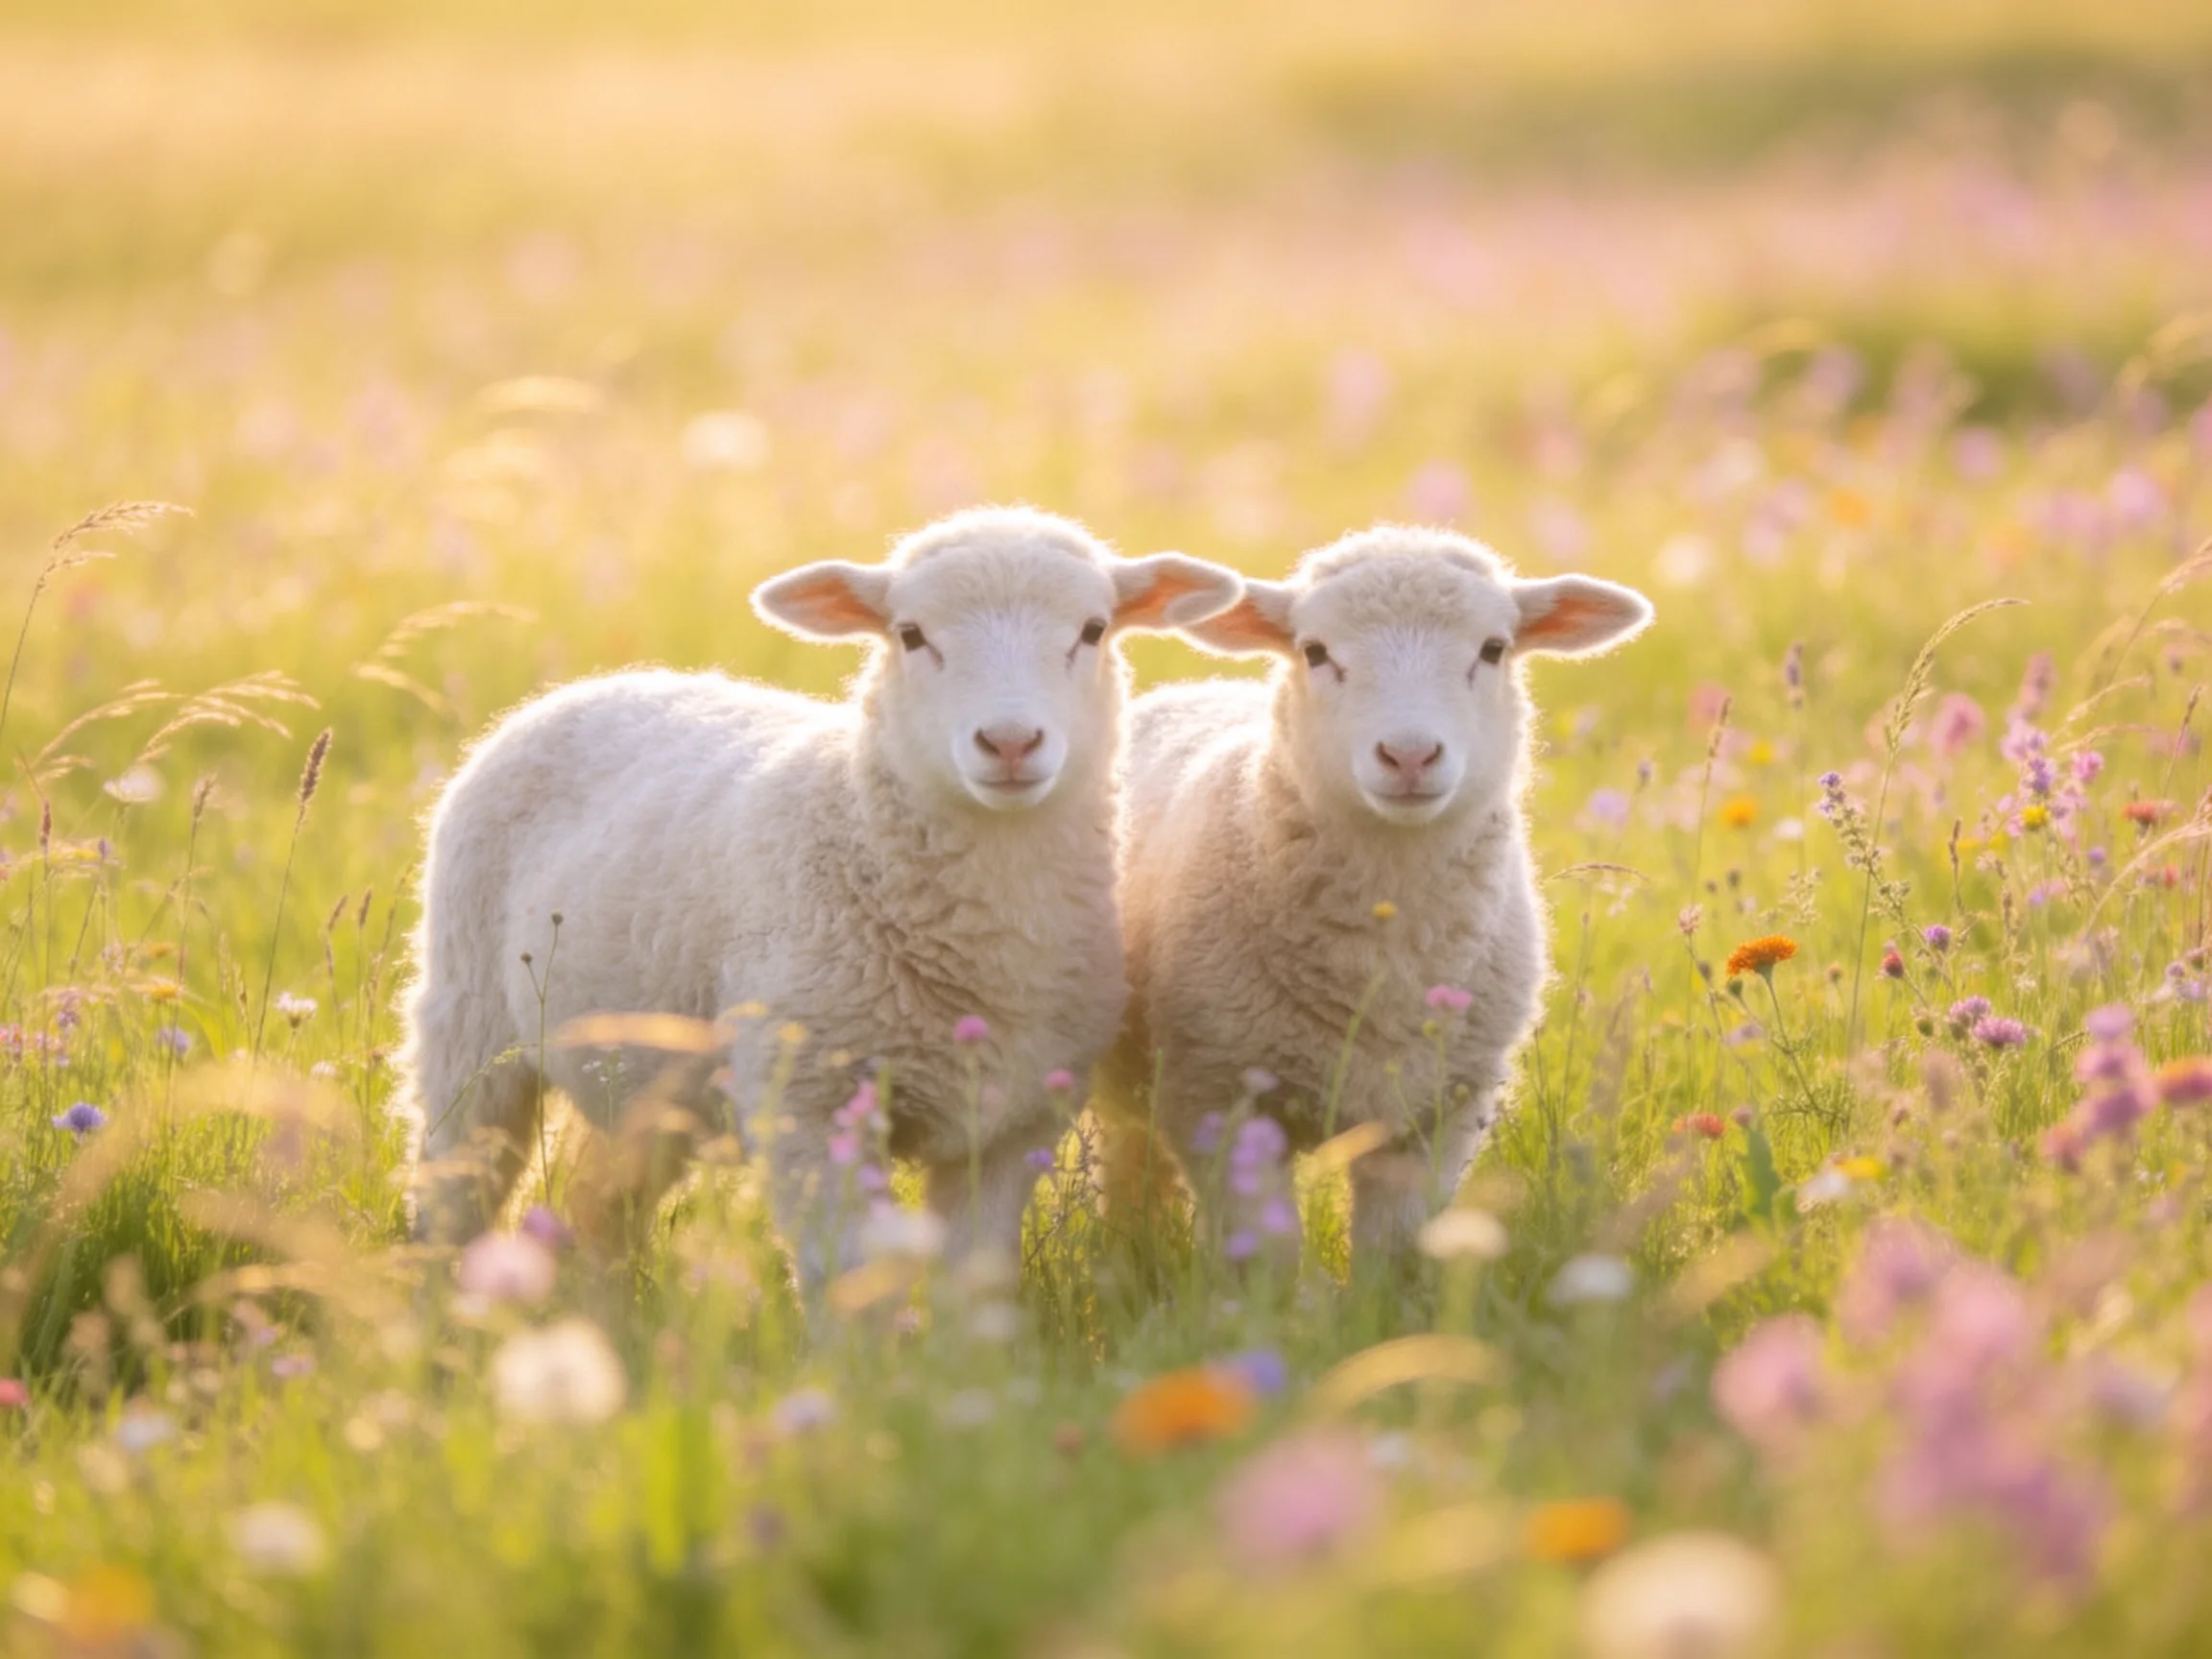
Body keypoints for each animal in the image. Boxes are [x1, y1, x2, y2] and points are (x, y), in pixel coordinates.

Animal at [396, 506, 1243, 1292]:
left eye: (1093, 630)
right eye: (910, 635)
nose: (1009, 743)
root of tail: (602, 680)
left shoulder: (1012, 1120)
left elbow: (973, 1281)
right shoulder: (808, 1107)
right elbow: (847, 1277)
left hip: (639, 1084)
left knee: (599, 1205)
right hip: (468, 1025)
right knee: (452, 1194)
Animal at [1096, 525, 1653, 1268]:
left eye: (1493, 649)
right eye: (1315, 651)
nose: (1409, 756)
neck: (1387, 953)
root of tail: (1199, 686)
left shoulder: (1441, 1110)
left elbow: (1396, 1253)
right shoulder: (1219, 1095)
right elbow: (1265, 1255)